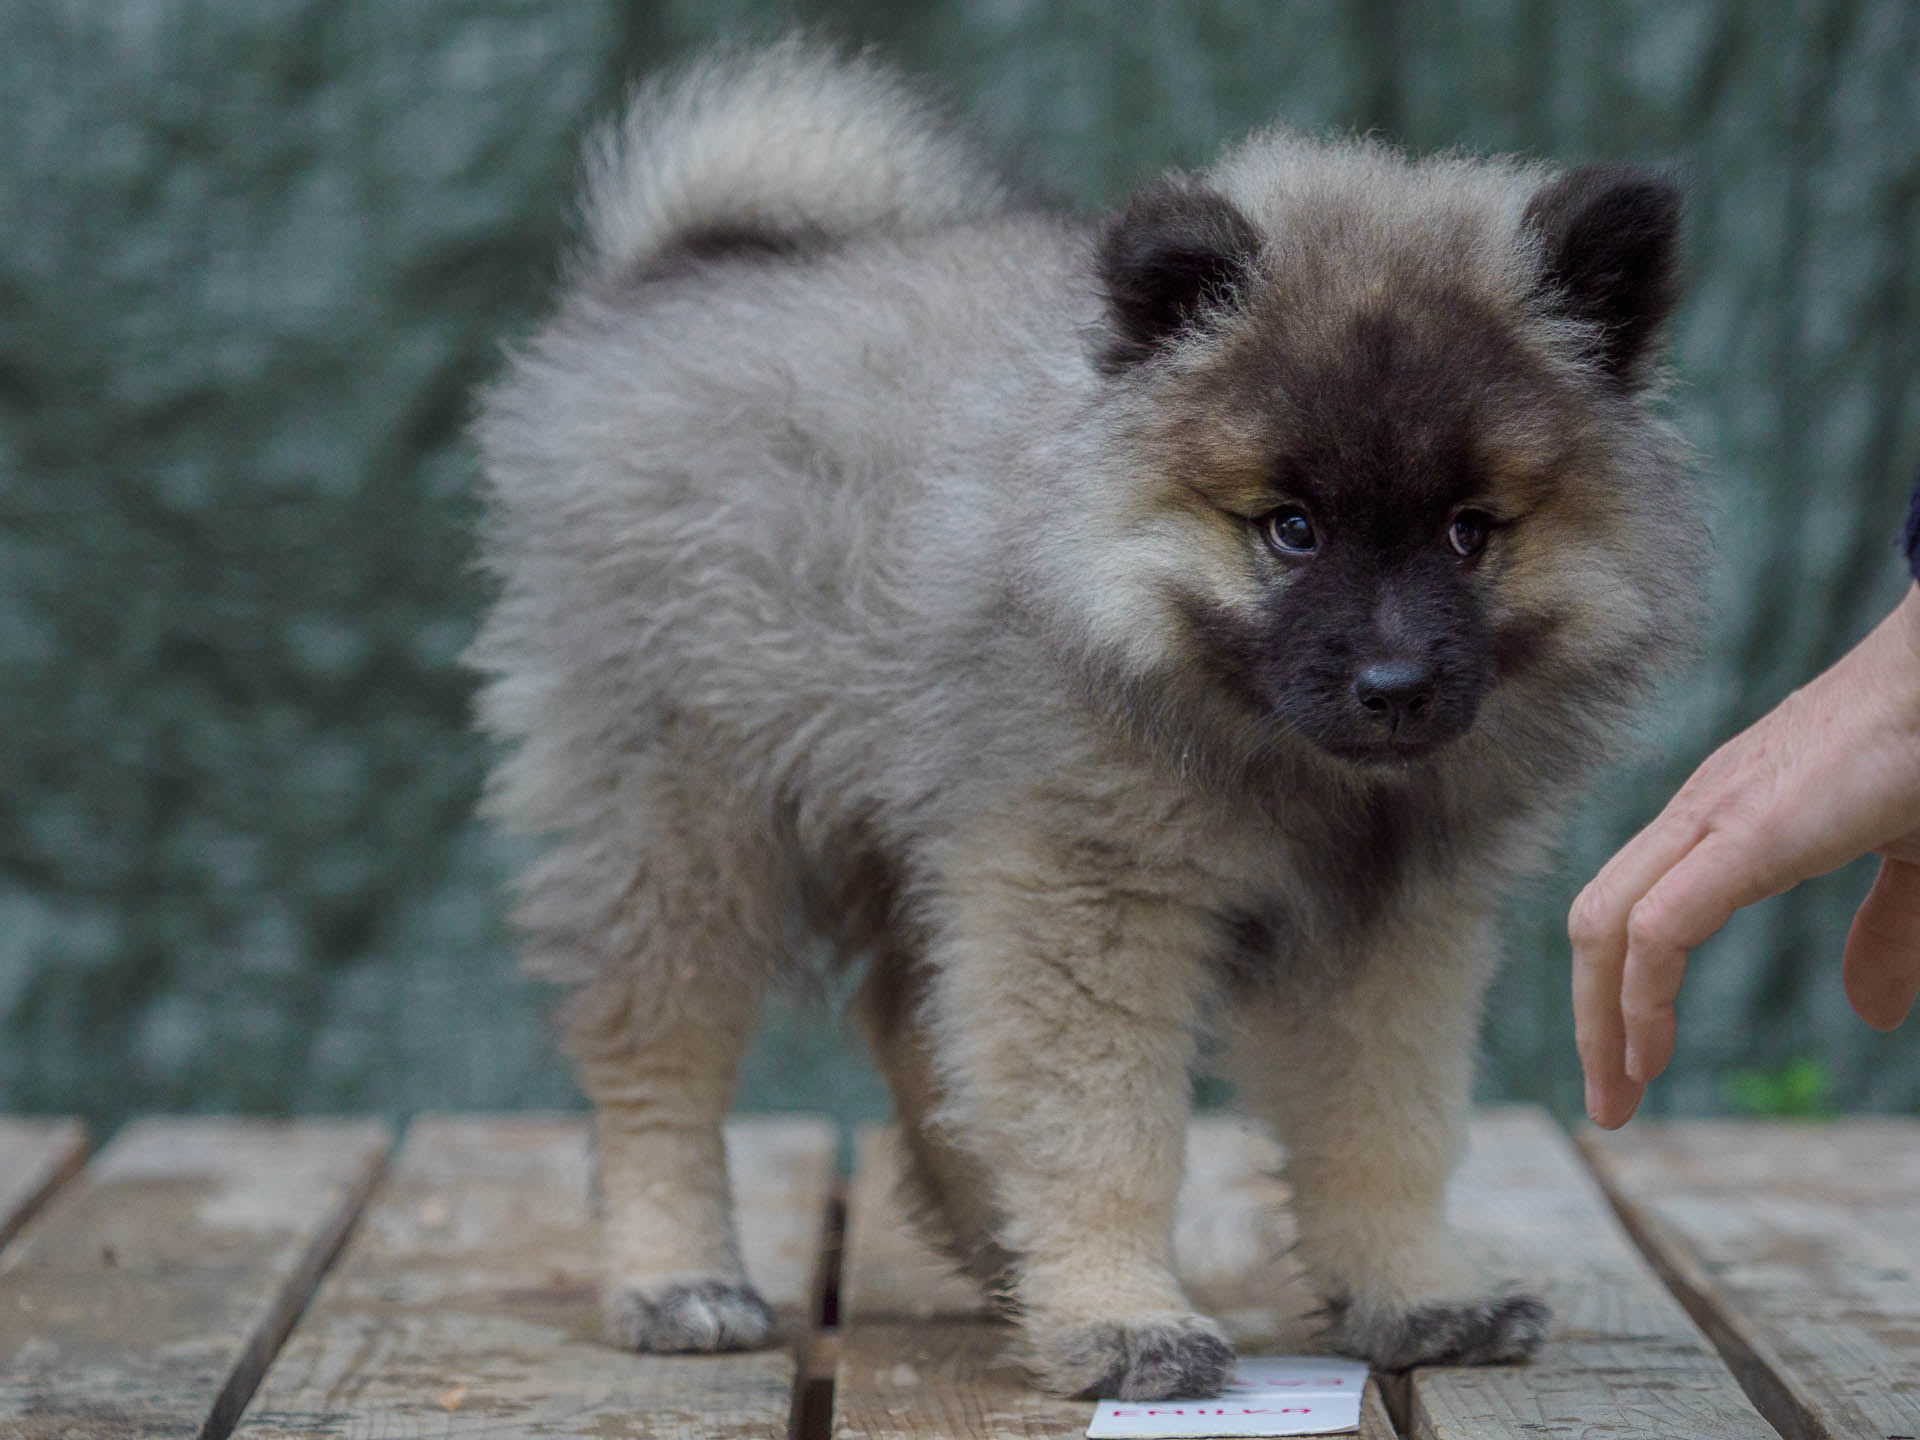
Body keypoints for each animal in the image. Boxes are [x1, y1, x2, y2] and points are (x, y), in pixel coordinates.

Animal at [464, 39, 1697, 1405]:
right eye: (1291, 528)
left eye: (1470, 531)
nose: (1393, 686)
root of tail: (682, 268)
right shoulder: (1088, 895)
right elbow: (1106, 1128)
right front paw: (1121, 1316)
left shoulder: (1385, 932)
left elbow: (1387, 1125)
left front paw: (1416, 1292)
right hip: (683, 818)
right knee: (658, 1060)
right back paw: (677, 1278)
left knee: (916, 1032)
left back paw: (1004, 1258)